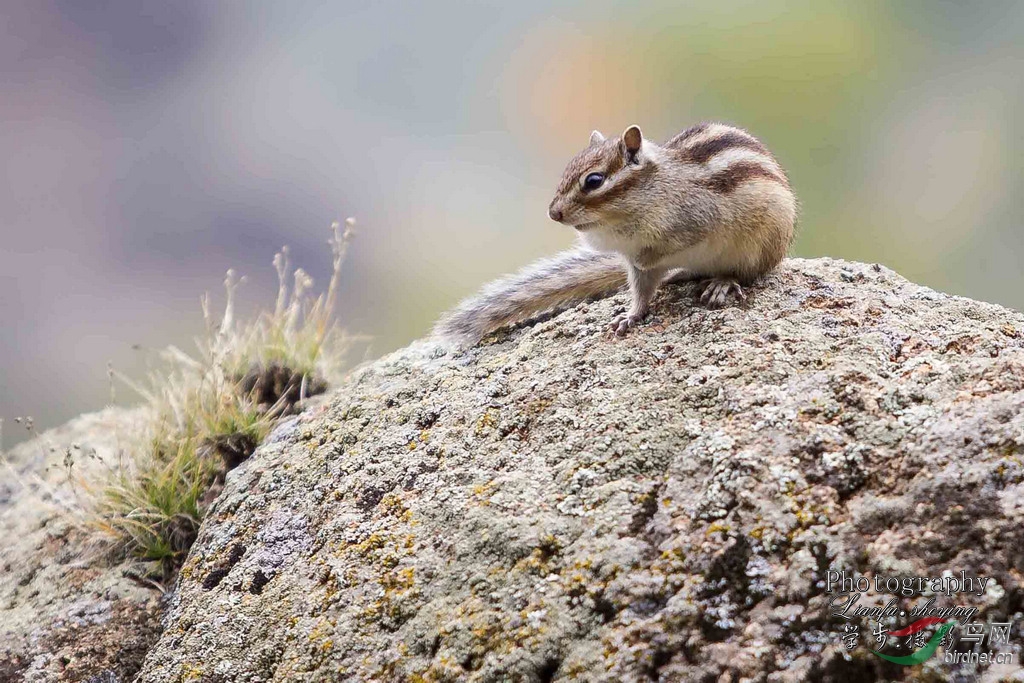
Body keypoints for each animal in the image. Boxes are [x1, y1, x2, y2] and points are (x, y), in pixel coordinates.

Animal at [436, 122, 794, 344]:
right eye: (565, 173)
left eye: (593, 181)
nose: (553, 213)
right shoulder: (633, 265)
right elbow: (641, 291)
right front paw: (630, 316)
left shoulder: (698, 219)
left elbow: (677, 243)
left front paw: (653, 258)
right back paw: (679, 274)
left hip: (759, 245)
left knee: (747, 272)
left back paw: (721, 281)